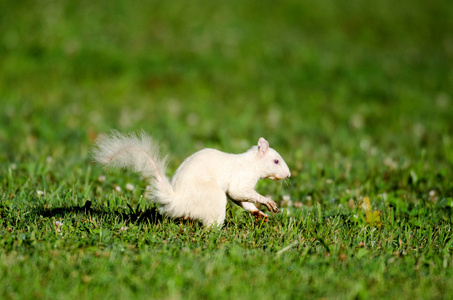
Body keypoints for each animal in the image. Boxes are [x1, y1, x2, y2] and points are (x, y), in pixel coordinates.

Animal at [92, 131, 290, 227]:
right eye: (276, 161)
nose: (288, 175)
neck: (251, 163)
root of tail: (175, 201)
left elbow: (243, 202)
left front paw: (260, 214)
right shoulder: (241, 179)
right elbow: (238, 193)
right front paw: (268, 202)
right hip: (213, 197)